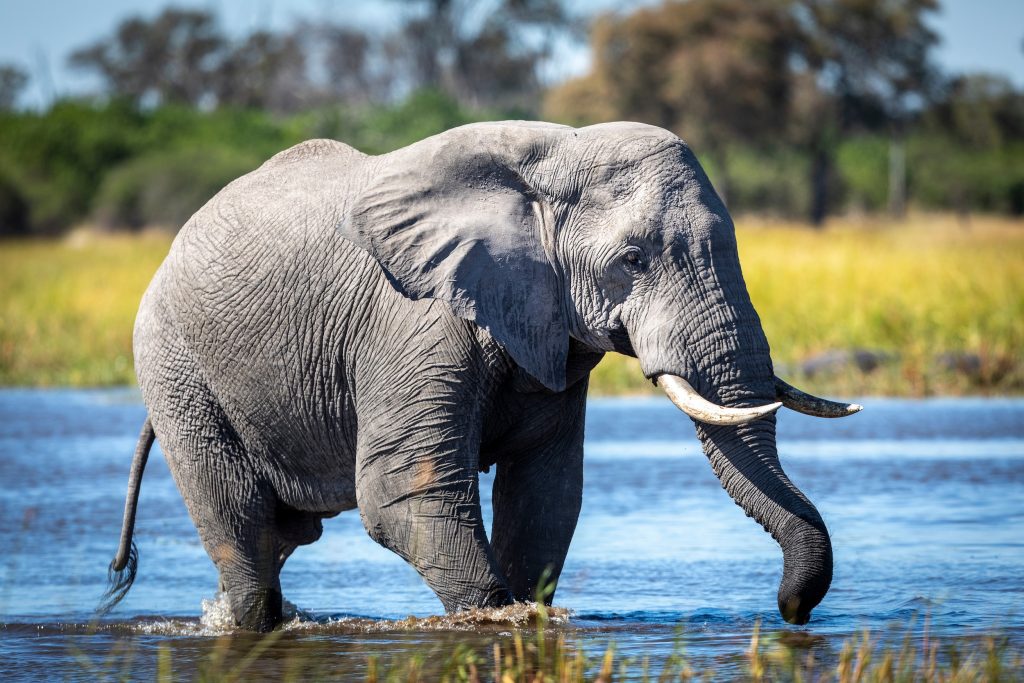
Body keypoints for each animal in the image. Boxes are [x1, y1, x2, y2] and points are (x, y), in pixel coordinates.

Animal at [101, 120, 856, 634]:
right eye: (634, 259)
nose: (792, 611)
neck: (555, 154)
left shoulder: (550, 332)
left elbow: (546, 491)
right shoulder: (415, 323)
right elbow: (403, 493)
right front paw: (498, 620)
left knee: (281, 542)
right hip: (175, 367)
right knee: (247, 537)